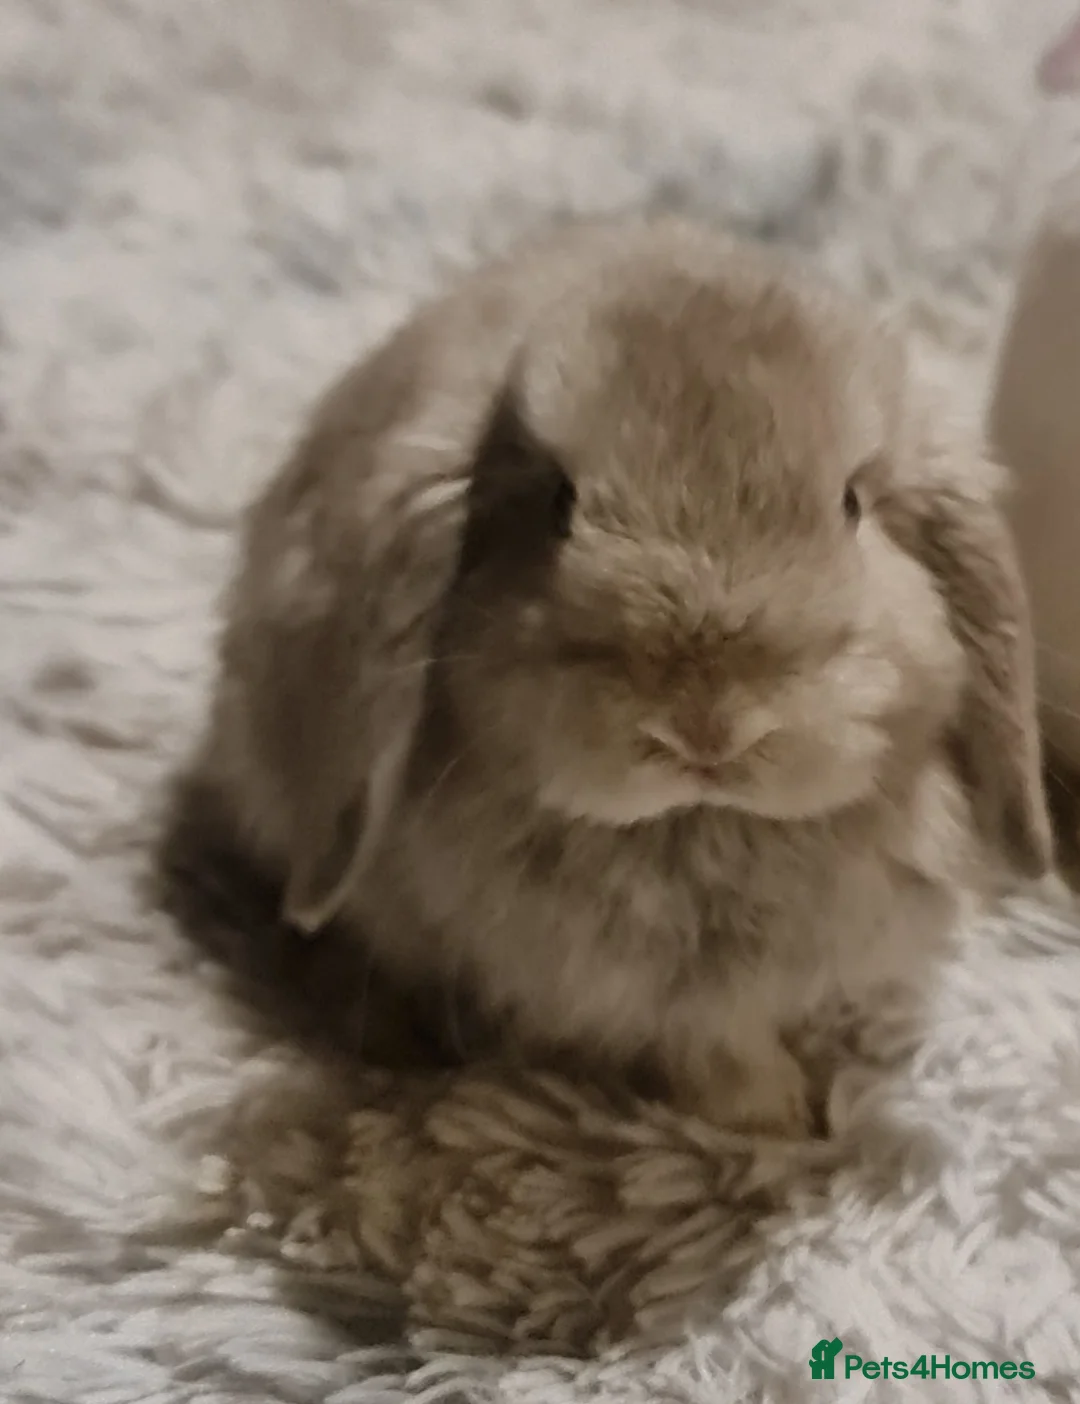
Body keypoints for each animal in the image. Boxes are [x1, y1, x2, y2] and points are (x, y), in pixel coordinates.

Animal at [192, 216, 1052, 1135]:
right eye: (558, 504)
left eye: (853, 505)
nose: (706, 725)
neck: (702, 827)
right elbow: (709, 1053)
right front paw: (770, 1117)